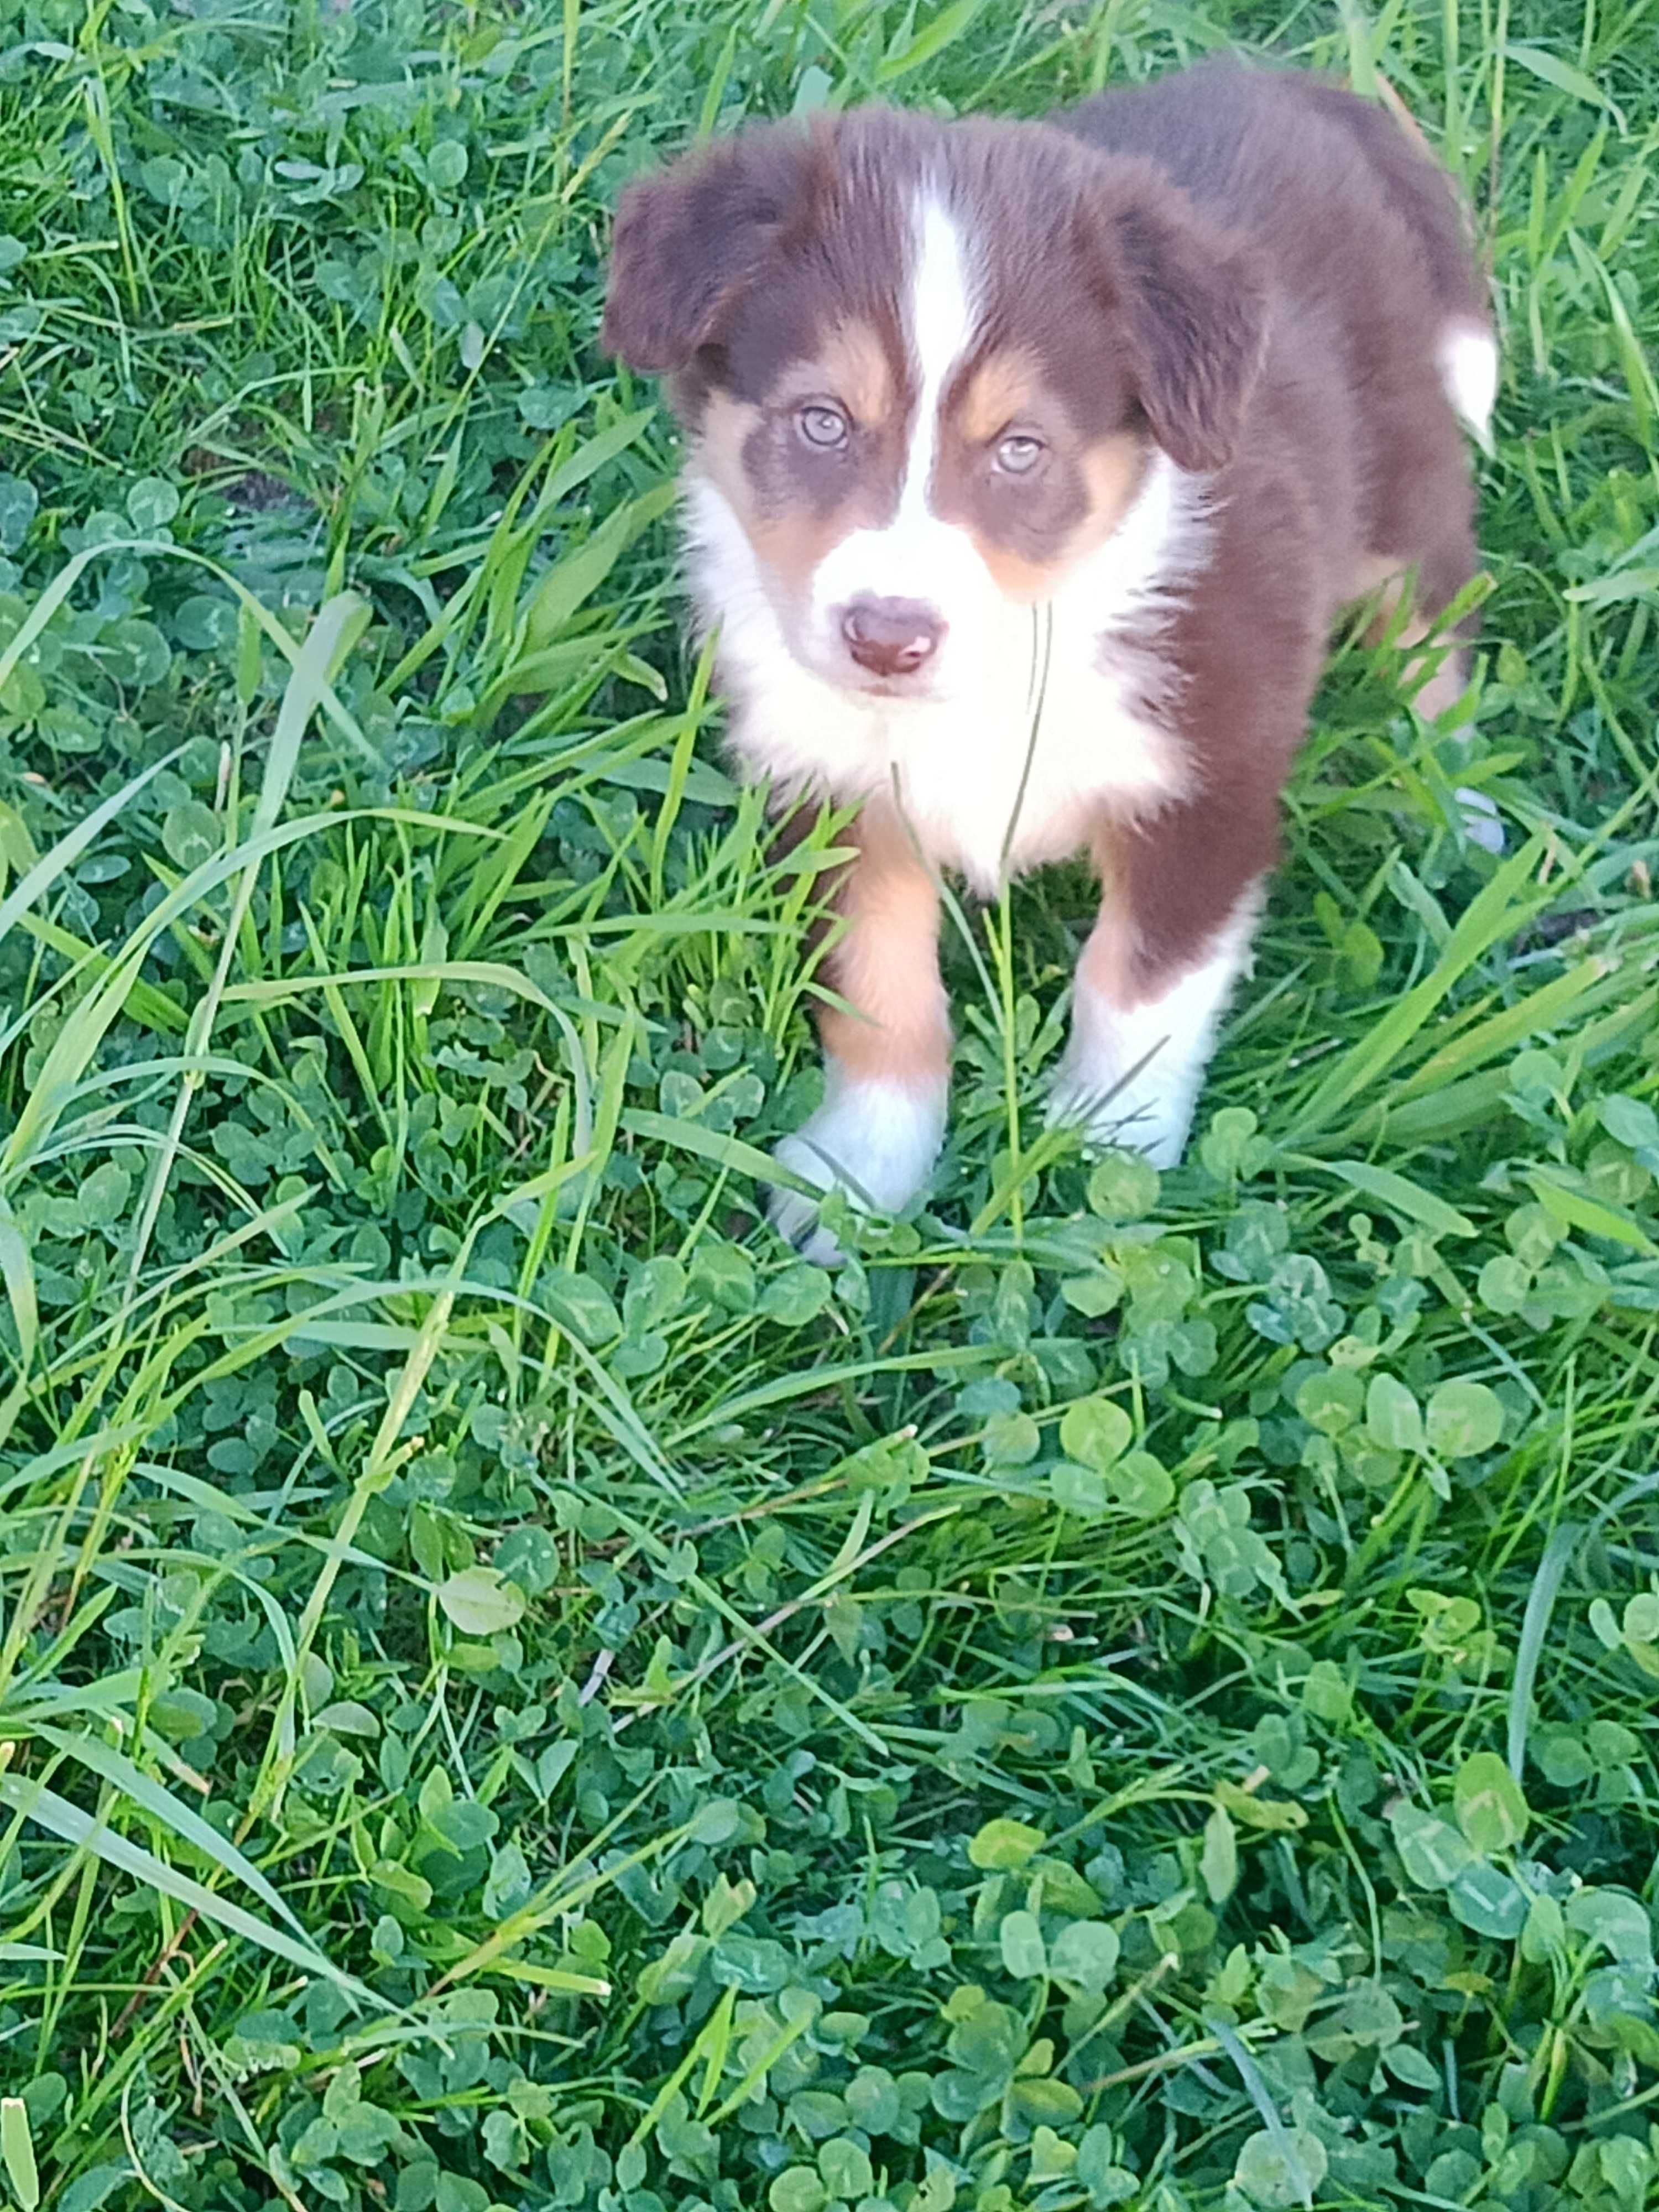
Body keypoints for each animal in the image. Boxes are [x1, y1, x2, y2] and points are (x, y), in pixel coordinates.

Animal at [606, 60, 1504, 1265]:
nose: (887, 637)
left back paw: (1461, 806)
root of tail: (1284, 79)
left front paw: (1101, 1154)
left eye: (1021, 450)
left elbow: (1137, 986)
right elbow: (878, 990)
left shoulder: (1205, 783)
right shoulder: (836, 791)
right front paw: (861, 1173)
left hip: (1401, 488)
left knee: (1435, 639)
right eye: (821, 423)